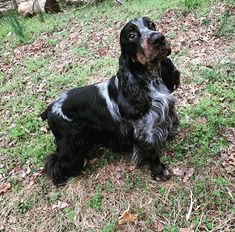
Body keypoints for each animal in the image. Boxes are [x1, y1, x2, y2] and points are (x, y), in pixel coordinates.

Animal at [40, 16, 180, 185]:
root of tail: (50, 108)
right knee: (55, 162)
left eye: (152, 25)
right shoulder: (145, 131)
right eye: (131, 36)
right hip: (68, 143)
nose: (158, 38)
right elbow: (151, 151)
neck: (149, 80)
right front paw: (160, 172)